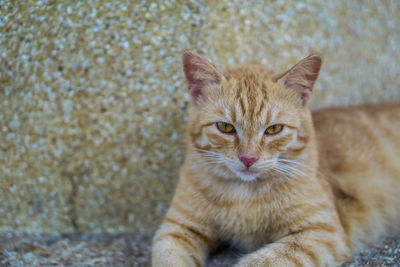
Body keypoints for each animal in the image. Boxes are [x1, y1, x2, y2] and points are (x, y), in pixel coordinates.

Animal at [151, 50, 400, 267]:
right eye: (225, 127)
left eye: (273, 129)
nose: (248, 158)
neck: (243, 197)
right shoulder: (177, 229)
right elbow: (169, 260)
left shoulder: (320, 233)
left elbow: (261, 261)